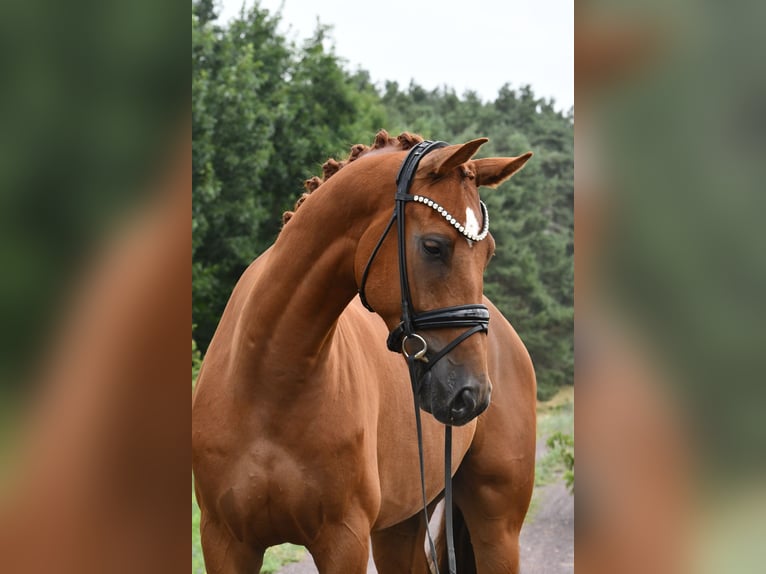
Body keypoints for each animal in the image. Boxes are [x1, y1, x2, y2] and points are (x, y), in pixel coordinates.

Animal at [192, 130, 537, 573]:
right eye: (434, 246)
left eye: (488, 252)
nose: (471, 394)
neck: (269, 380)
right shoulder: (224, 542)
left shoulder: (344, 541)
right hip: (401, 527)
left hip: (497, 526)